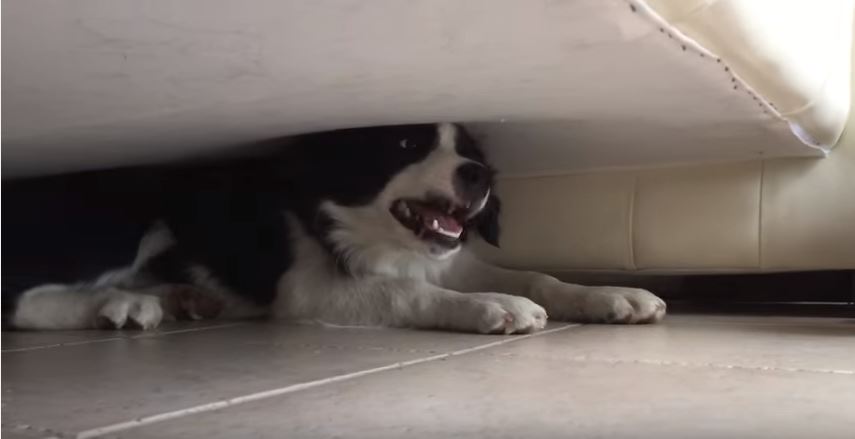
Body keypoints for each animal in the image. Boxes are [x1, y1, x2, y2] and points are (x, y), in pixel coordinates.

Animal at [3, 123, 664, 334]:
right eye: (406, 143)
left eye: (469, 151)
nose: (478, 176)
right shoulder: (307, 288)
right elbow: (406, 290)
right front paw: (493, 306)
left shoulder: (454, 257)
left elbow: (540, 275)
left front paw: (614, 295)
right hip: (121, 218)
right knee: (21, 298)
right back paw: (116, 304)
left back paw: (178, 298)